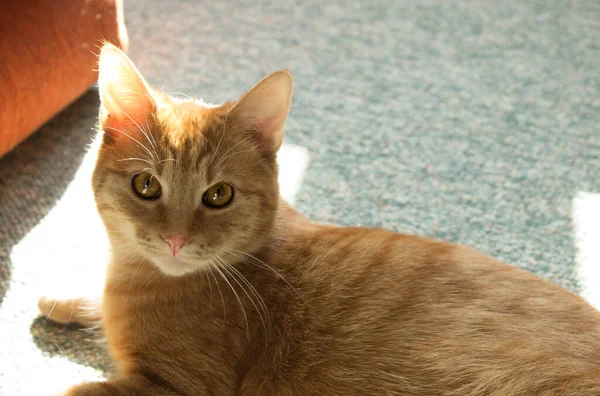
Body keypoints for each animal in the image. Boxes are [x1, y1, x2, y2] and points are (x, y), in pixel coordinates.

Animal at [39, 43, 600, 396]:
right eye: (147, 186)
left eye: (219, 195)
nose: (174, 240)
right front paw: (65, 298)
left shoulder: (176, 386)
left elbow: (72, 391)